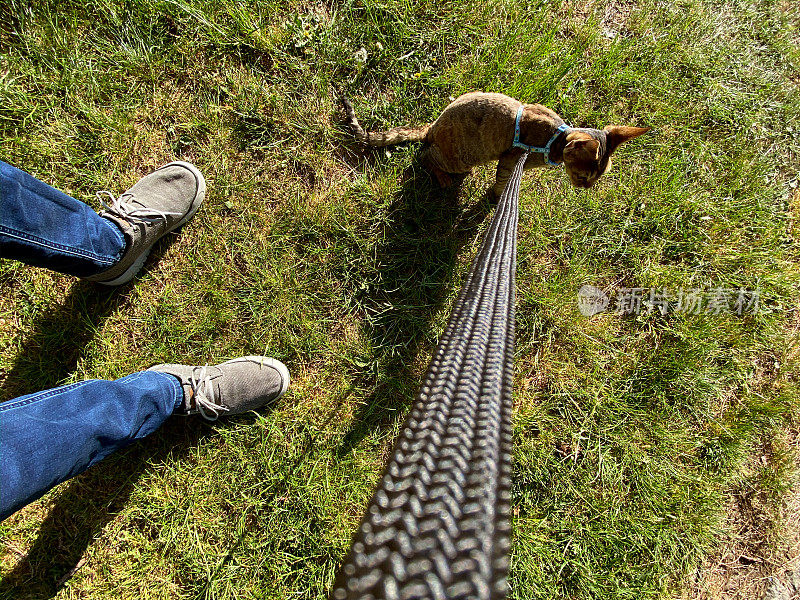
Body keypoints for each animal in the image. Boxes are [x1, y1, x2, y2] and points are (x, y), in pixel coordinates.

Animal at [342, 91, 648, 197]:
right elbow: (502, 186)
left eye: (596, 179)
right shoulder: (511, 159)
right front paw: (498, 199)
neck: (555, 140)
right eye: (583, 176)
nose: (585, 189)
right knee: (425, 156)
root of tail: (434, 125)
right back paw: (443, 176)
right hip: (461, 156)